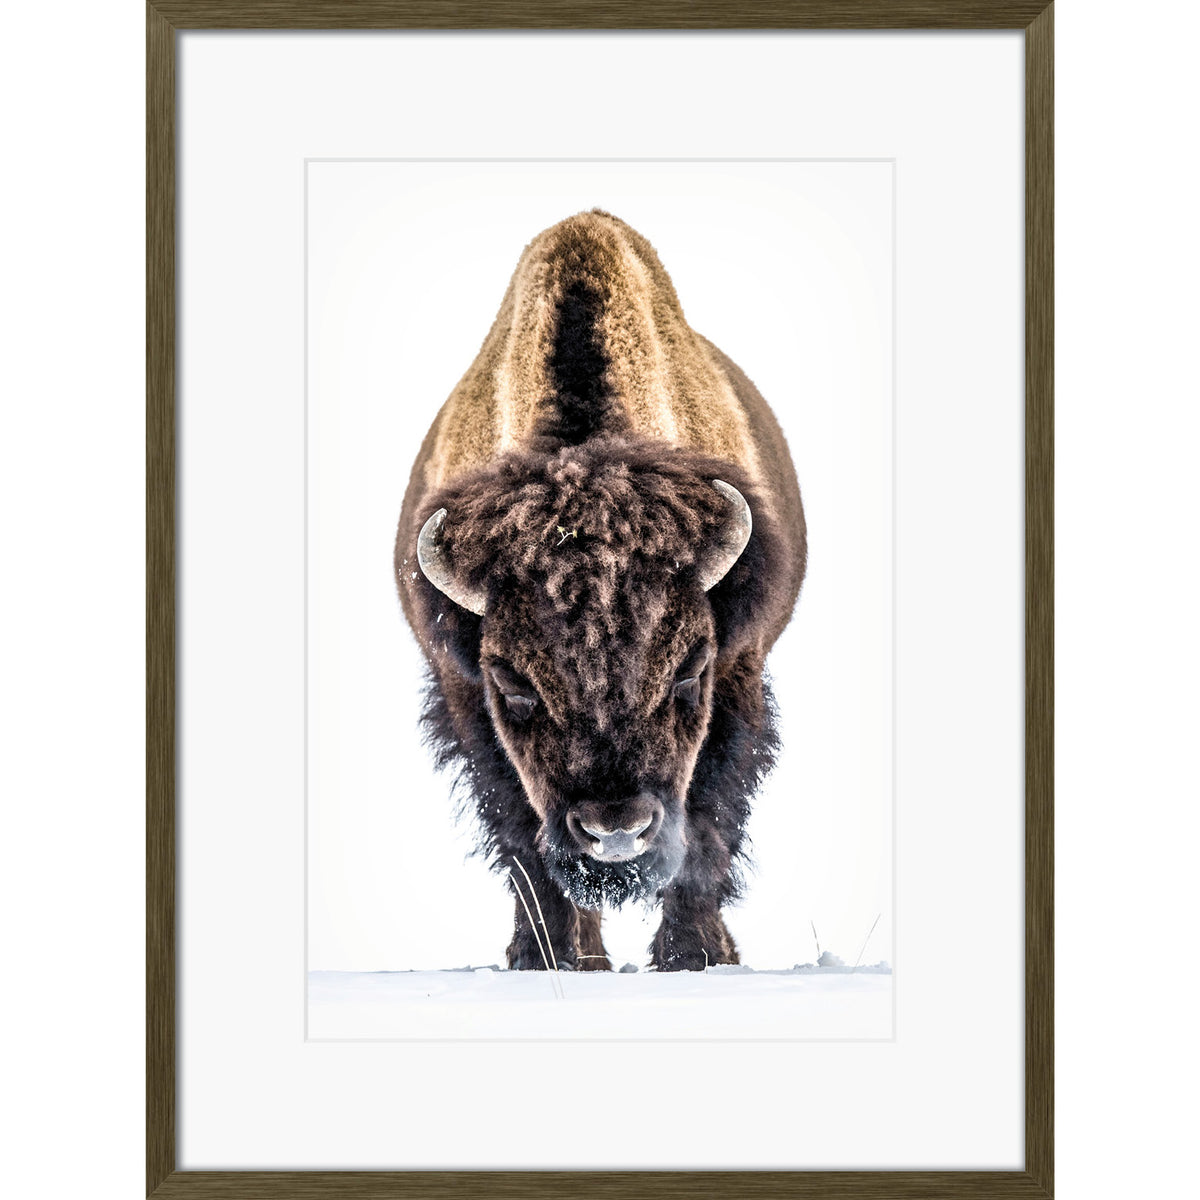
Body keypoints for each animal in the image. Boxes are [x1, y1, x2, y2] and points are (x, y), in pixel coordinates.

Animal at [395, 210, 806, 971]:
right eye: (513, 682)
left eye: (690, 671)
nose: (616, 830)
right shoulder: (464, 696)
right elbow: (524, 842)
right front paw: (546, 959)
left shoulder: (739, 671)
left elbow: (707, 824)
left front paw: (692, 956)